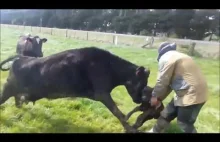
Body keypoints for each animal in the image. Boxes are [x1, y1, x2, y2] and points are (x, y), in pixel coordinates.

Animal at [0, 46, 150, 133]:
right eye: (142, 83)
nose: (139, 100)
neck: (110, 66)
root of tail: (22, 57)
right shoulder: (102, 93)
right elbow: (118, 112)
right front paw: (131, 129)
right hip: (8, 88)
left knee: (18, 100)